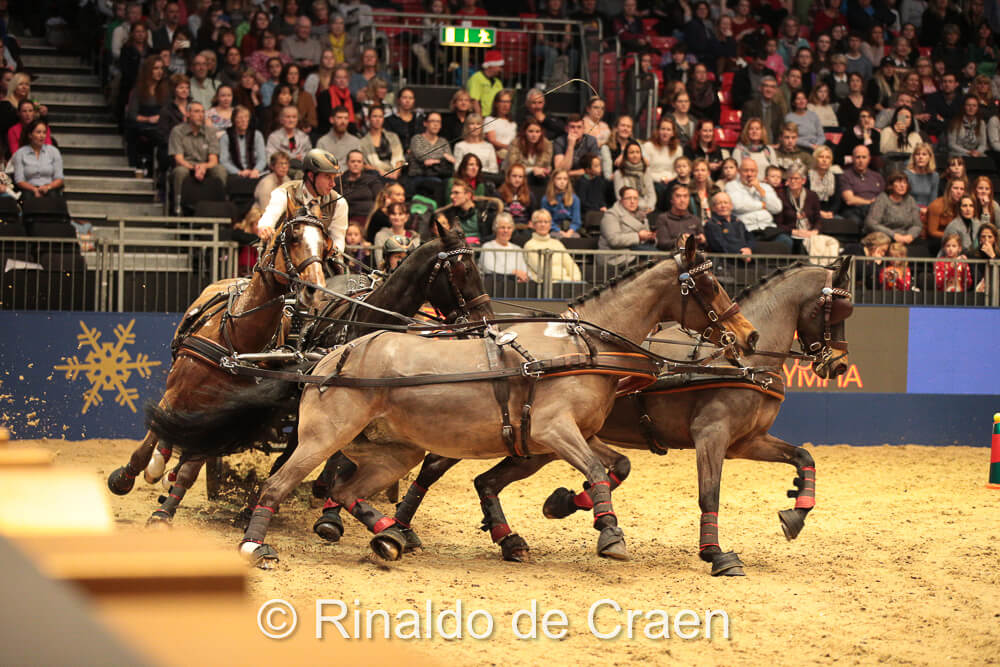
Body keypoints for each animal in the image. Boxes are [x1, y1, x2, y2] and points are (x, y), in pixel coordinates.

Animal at [152, 239, 759, 567]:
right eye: (706, 285)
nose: (748, 335)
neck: (580, 345)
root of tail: (328, 358)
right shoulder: (555, 430)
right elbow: (596, 470)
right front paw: (609, 534)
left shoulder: (573, 433)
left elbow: (615, 466)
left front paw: (566, 504)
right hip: (322, 438)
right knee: (279, 483)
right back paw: (251, 543)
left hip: (390, 452)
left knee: (342, 489)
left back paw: (386, 536)